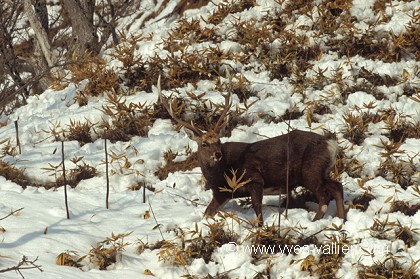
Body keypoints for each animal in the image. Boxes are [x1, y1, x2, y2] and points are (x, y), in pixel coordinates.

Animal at [158, 76, 344, 225]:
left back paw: (316, 222)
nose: (217, 154)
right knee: (337, 186)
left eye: (218, 141)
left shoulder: (255, 178)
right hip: (320, 172)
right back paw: (340, 219)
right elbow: (207, 213)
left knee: (324, 196)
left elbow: (258, 211)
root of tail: (331, 144)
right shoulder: (222, 194)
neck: (221, 174)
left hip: (310, 171)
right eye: (204, 144)